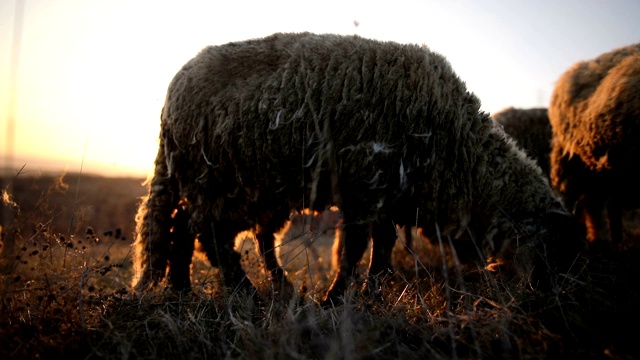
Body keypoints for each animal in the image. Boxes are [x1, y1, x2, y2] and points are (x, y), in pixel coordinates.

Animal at [132, 32, 588, 306]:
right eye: (551, 247)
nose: (547, 300)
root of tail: (174, 88)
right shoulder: (365, 185)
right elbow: (354, 249)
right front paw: (335, 299)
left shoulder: (386, 194)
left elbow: (380, 247)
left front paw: (374, 289)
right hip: (220, 180)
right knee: (209, 236)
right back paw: (246, 293)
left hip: (211, 182)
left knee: (184, 228)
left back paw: (184, 289)